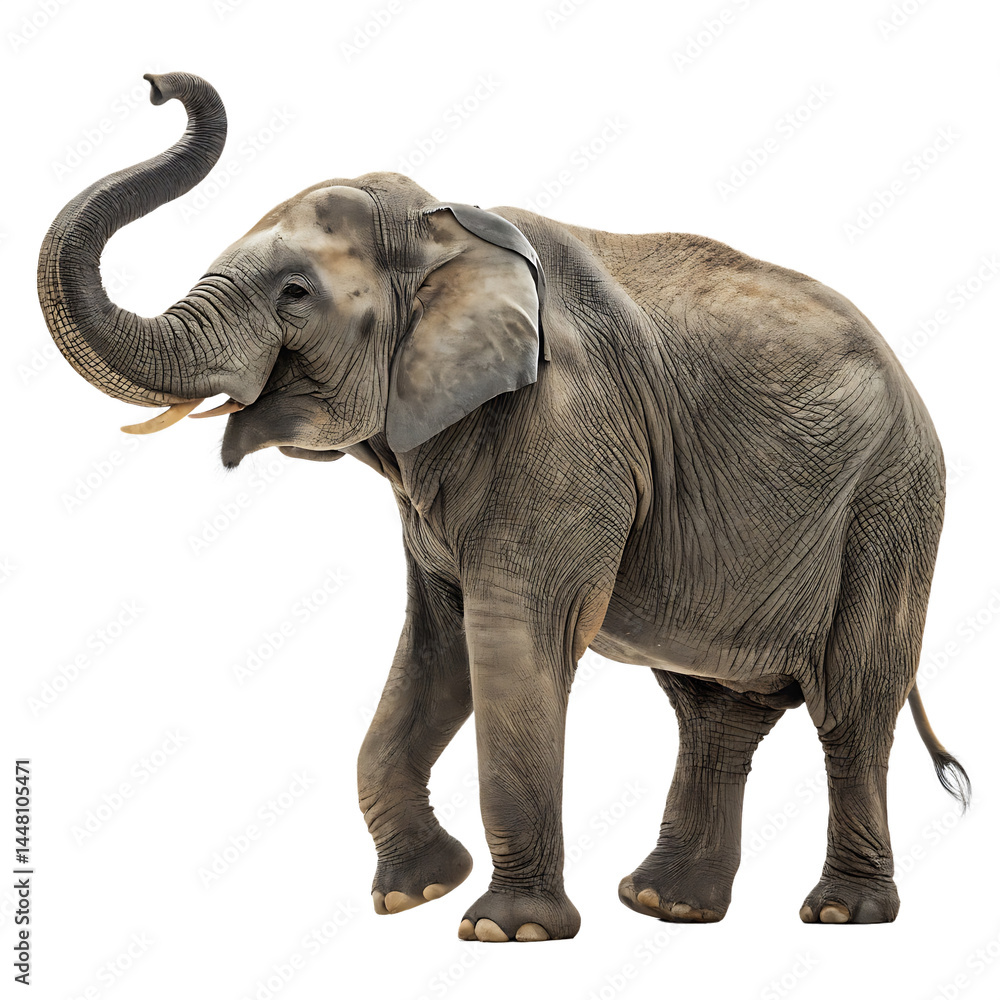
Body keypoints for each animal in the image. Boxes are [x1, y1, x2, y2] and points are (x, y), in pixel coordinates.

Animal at [38, 72, 970, 942]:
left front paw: (503, 929)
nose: (157, 85)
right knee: (715, 711)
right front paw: (416, 893)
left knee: (852, 707)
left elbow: (512, 633)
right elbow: (439, 645)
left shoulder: (564, 425)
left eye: (295, 294)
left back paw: (841, 912)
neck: (443, 224)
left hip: (890, 506)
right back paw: (665, 905)